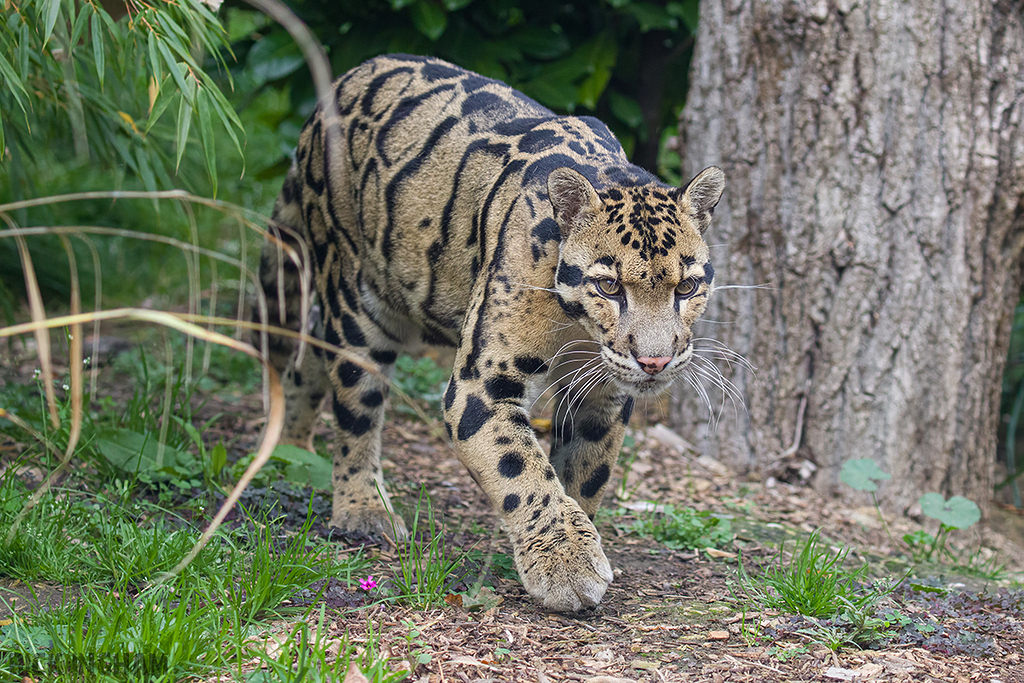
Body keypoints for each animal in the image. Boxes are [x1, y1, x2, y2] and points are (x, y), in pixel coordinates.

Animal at [257, 54, 725, 612]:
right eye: (609, 286)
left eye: (687, 286)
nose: (655, 361)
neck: (579, 329)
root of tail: (337, 87)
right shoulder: (482, 382)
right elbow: (522, 471)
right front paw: (567, 564)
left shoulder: (603, 395)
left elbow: (585, 471)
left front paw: (580, 537)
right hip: (355, 298)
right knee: (355, 409)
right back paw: (362, 509)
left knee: (308, 355)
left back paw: (291, 447)